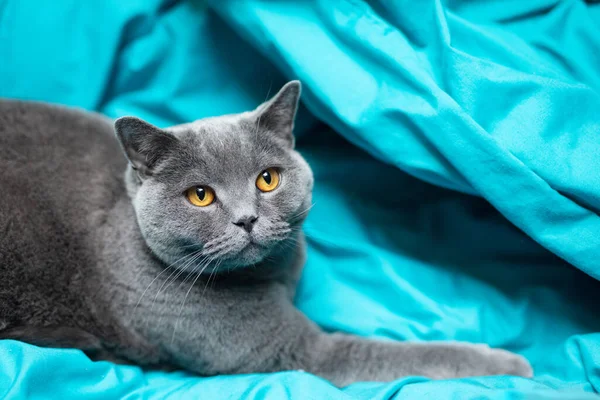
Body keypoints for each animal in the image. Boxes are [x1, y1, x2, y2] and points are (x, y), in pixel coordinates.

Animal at [0, 82, 532, 388]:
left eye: (268, 179)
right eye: (200, 195)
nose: (247, 219)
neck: (270, 275)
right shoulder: (298, 352)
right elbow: (400, 355)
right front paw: (511, 366)